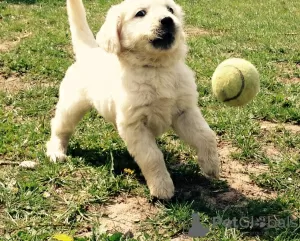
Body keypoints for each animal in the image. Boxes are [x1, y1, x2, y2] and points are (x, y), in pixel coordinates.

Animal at [47, 0, 220, 200]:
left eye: (170, 9)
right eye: (140, 13)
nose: (168, 20)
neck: (156, 68)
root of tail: (88, 52)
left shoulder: (185, 111)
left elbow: (206, 135)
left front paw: (211, 165)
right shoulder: (135, 125)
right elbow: (152, 156)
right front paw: (162, 187)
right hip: (71, 105)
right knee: (60, 127)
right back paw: (56, 150)